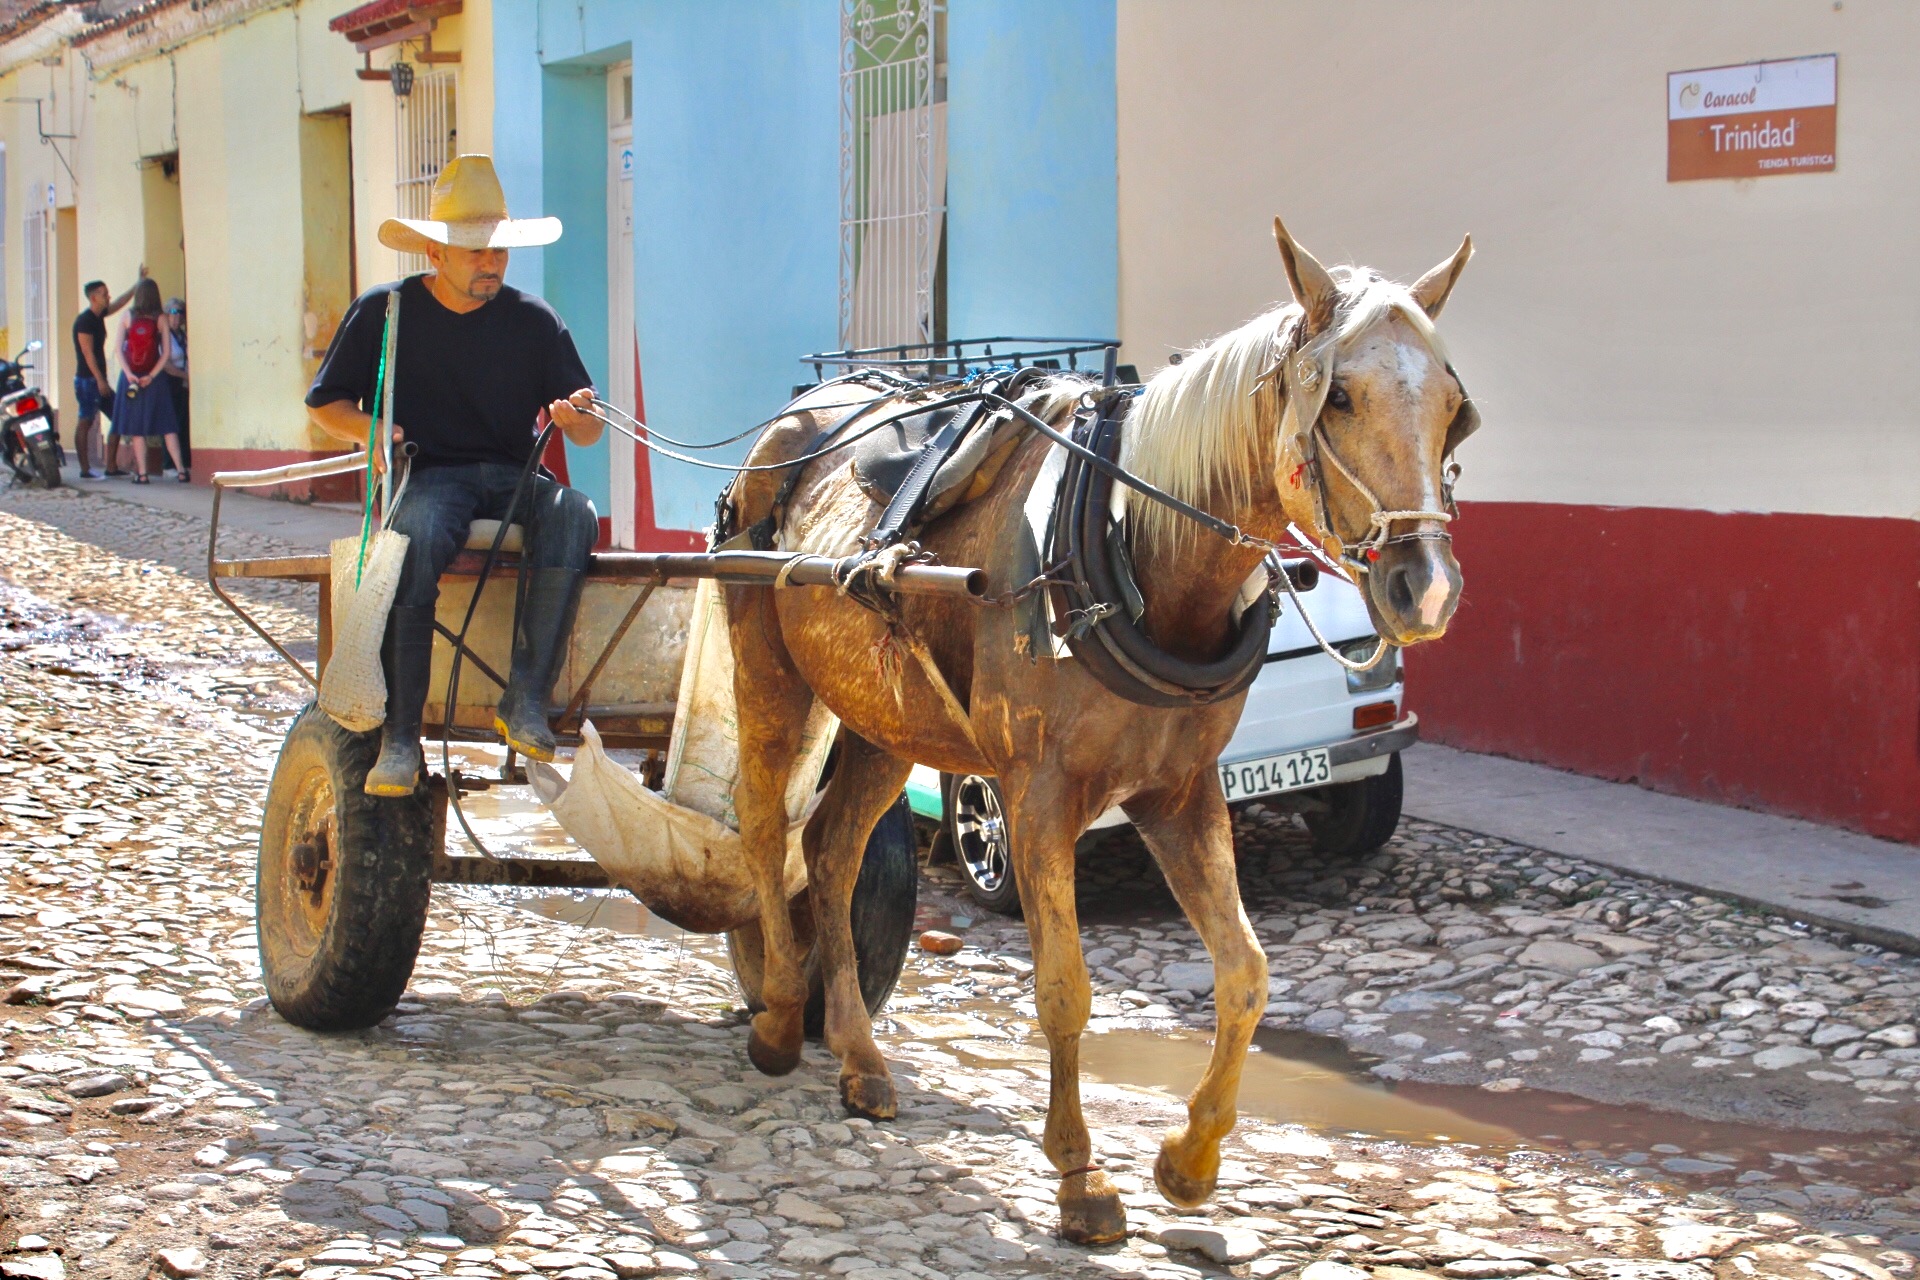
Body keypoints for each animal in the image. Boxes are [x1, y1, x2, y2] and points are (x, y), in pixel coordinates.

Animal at [721, 217, 1476, 1244]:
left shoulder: (1183, 795)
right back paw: (774, 1015)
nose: (1424, 589)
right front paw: (1081, 1176)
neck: (1133, 548)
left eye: (1451, 405)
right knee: (765, 831)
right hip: (773, 678)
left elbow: (1246, 973)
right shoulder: (1035, 799)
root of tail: (800, 415)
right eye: (1343, 394)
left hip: (886, 718)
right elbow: (1065, 988)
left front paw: (1190, 1160)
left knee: (833, 854)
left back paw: (859, 1056)